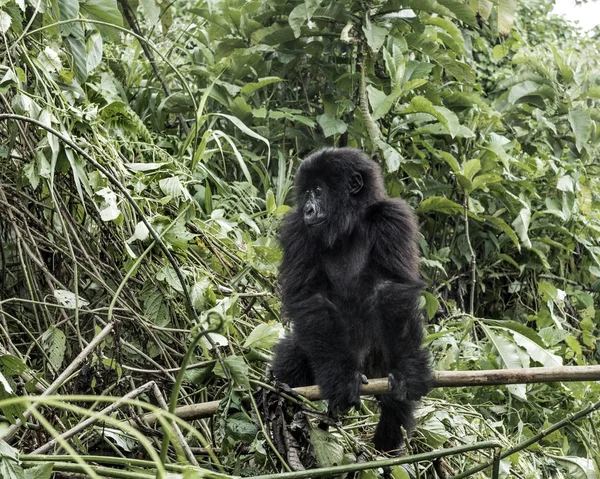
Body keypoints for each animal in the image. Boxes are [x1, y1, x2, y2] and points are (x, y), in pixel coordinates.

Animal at [272, 148, 432, 456]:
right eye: (306, 193)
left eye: (318, 191)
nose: (308, 210)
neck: (350, 223)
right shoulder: (297, 229)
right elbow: (311, 298)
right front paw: (340, 379)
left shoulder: (392, 218)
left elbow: (391, 290)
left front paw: (407, 369)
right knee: (292, 357)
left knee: (395, 405)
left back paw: (388, 446)